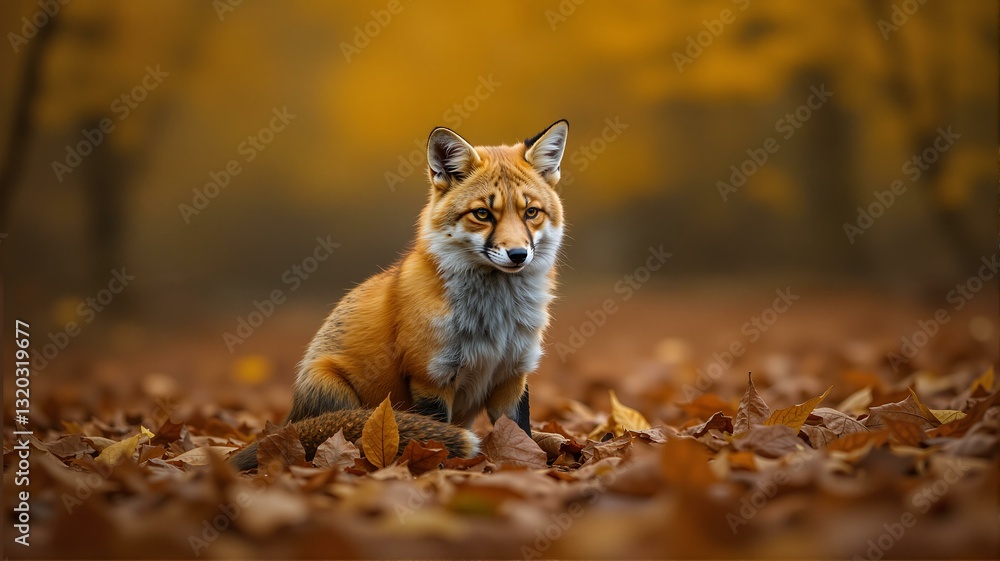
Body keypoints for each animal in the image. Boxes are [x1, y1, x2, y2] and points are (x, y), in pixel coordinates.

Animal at [229, 120, 569, 470]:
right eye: (483, 214)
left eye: (531, 212)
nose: (518, 255)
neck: (496, 318)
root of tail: (287, 421)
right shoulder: (430, 378)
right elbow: (437, 441)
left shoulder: (513, 375)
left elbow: (521, 435)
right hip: (332, 388)